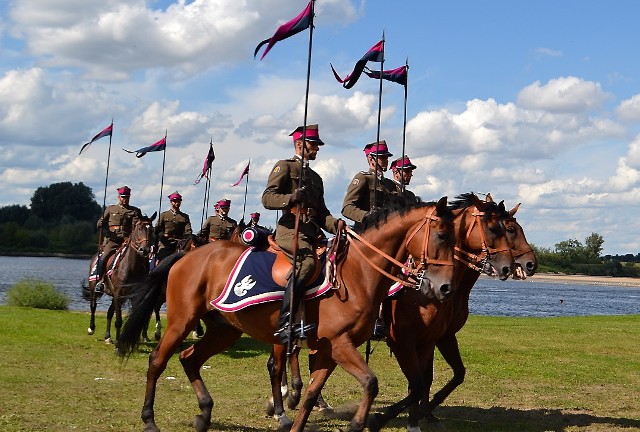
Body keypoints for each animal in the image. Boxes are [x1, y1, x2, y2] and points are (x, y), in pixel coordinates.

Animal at [85, 215, 156, 344]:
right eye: (139, 228)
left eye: (152, 230)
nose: (144, 250)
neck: (132, 266)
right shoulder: (119, 294)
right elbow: (118, 320)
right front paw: (119, 342)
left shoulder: (133, 295)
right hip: (94, 288)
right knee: (93, 306)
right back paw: (91, 328)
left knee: (109, 312)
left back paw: (107, 337)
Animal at [119, 198, 456, 432]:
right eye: (441, 236)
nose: (444, 288)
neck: (358, 273)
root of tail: (187, 256)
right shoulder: (341, 345)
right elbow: (371, 383)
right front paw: (359, 423)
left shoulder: (330, 351)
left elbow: (310, 395)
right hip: (181, 321)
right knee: (158, 361)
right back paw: (149, 419)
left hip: (223, 329)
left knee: (189, 358)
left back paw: (204, 413)